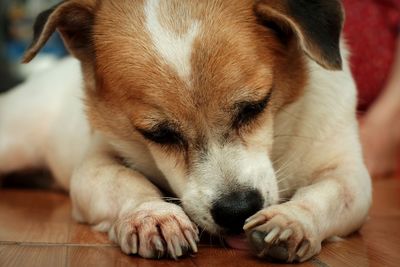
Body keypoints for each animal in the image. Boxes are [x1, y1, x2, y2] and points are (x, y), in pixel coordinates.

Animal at [0, 0, 372, 264]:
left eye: (255, 107)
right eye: (159, 135)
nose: (237, 210)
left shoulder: (348, 172)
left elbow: (330, 193)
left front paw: (292, 220)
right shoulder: (95, 165)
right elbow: (125, 181)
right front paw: (154, 215)